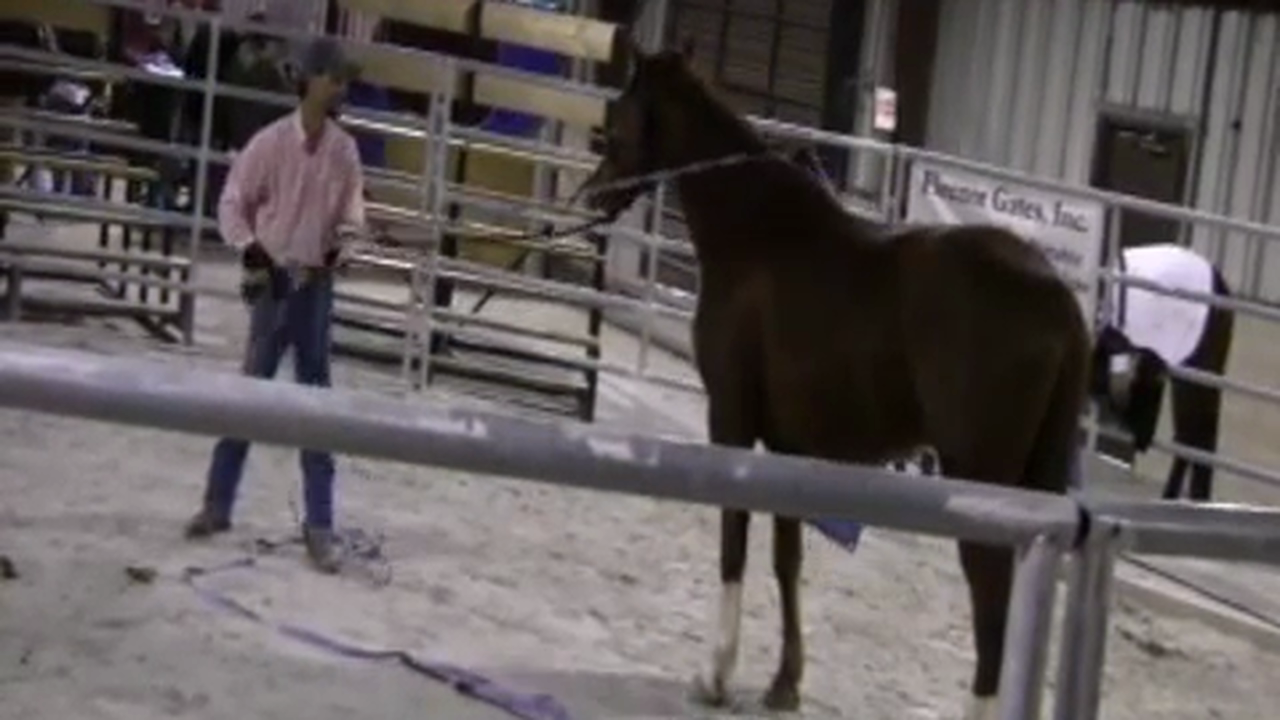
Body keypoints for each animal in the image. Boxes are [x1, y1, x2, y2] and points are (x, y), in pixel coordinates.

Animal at [577, 42, 1090, 719]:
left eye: (620, 115)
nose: (589, 198)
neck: (759, 236)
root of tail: (1058, 297)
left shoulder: (731, 419)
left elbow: (734, 539)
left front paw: (715, 675)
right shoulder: (790, 445)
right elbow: (786, 558)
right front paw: (783, 683)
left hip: (982, 475)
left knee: (992, 597)